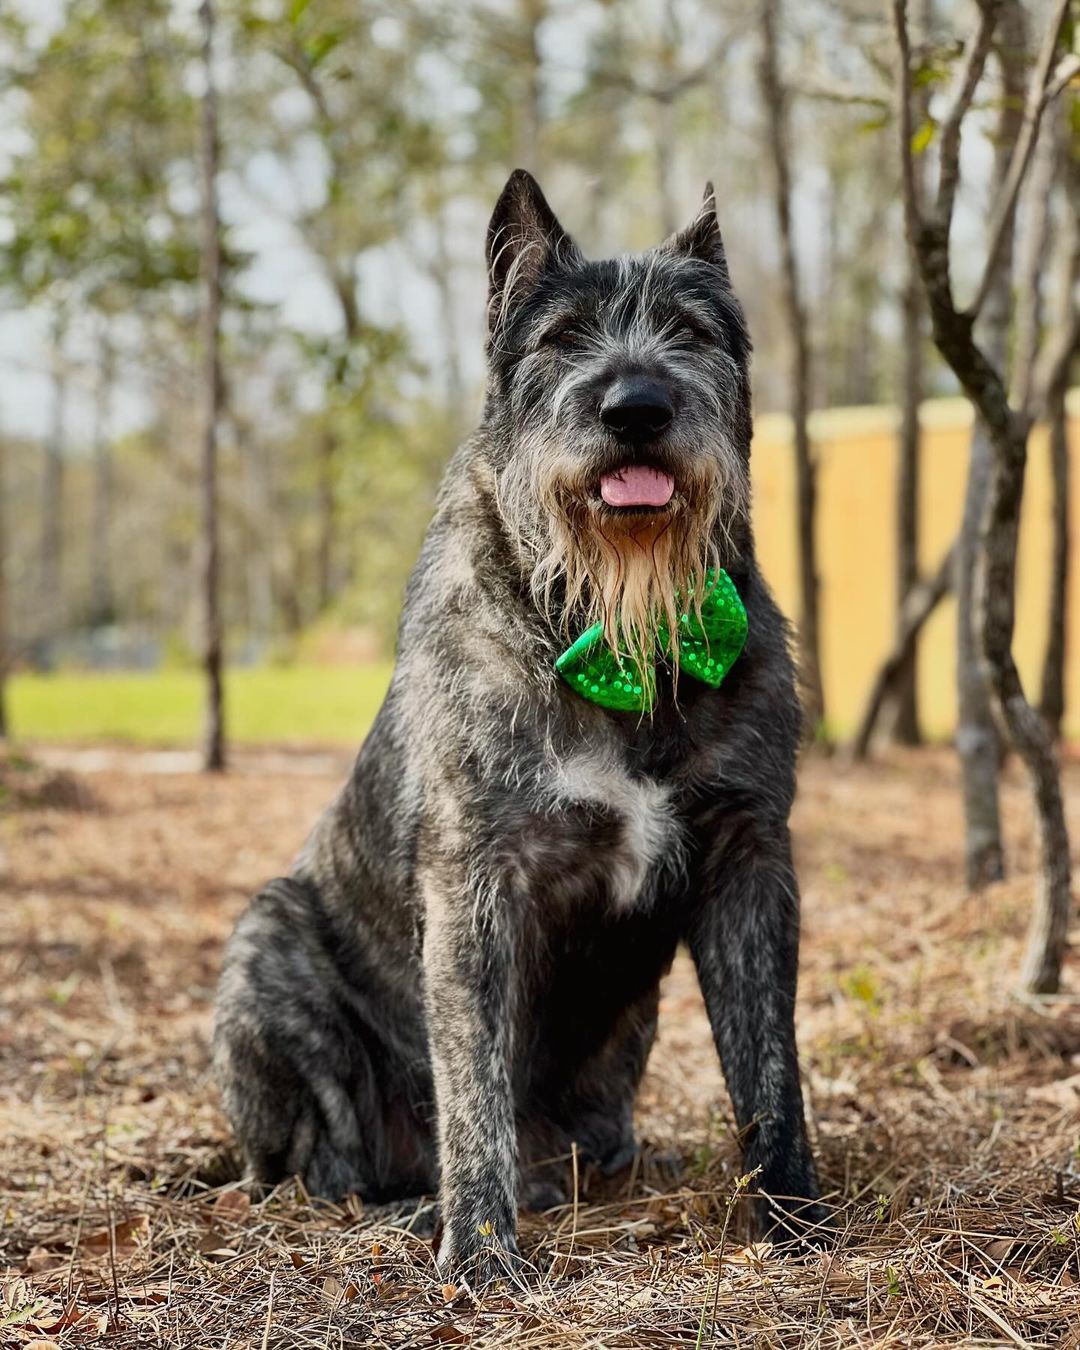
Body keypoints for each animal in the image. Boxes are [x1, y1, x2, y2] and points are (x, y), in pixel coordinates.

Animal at [214, 168, 820, 1285]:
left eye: (690, 331)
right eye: (563, 337)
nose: (637, 407)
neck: (614, 632)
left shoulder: (750, 860)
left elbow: (770, 1068)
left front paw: (796, 1220)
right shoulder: (477, 881)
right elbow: (475, 1085)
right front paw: (484, 1255)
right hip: (266, 944)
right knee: (321, 1169)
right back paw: (408, 1209)